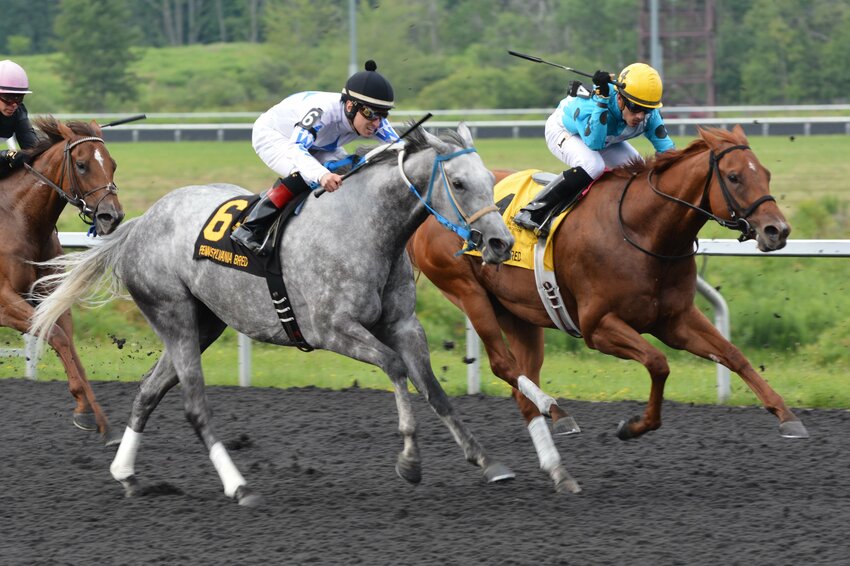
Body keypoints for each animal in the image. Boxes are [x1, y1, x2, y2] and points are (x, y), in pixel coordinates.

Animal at [0, 115, 124, 444]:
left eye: (112, 163)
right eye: (81, 165)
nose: (112, 217)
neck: (20, 219)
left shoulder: (50, 295)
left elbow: (69, 344)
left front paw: (100, 420)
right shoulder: (4, 302)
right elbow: (55, 336)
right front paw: (85, 408)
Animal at [29, 124, 512, 506]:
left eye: (489, 181)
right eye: (459, 183)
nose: (500, 243)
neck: (364, 227)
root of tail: (140, 223)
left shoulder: (404, 325)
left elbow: (433, 389)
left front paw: (488, 462)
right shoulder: (331, 329)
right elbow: (395, 367)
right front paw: (409, 462)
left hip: (205, 322)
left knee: (149, 390)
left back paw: (126, 473)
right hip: (173, 313)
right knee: (194, 406)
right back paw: (238, 486)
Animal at [410, 126, 808, 494]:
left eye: (766, 173)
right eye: (734, 176)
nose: (777, 230)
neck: (642, 230)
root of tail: (425, 209)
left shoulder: (676, 320)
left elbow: (733, 355)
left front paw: (786, 415)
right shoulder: (598, 327)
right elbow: (658, 363)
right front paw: (633, 427)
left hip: (518, 313)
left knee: (522, 384)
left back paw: (558, 437)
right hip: (468, 292)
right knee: (502, 365)